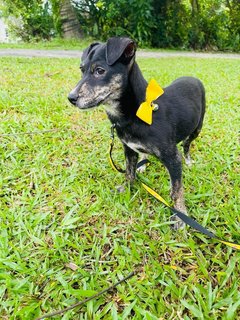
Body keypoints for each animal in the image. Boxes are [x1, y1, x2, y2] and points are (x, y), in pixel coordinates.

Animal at [68, 37, 205, 228]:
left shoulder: (173, 158)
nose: (71, 98)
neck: (135, 112)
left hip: (197, 128)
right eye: (81, 70)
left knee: (187, 144)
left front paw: (180, 216)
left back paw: (189, 160)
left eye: (100, 71)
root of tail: (193, 78)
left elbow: (176, 191)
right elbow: (129, 172)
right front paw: (127, 189)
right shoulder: (129, 149)